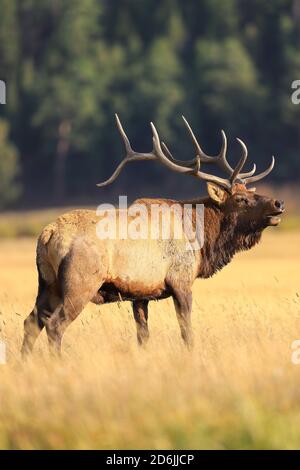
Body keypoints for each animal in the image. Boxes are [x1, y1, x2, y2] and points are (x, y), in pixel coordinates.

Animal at [20, 114, 284, 356]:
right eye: (241, 199)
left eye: (250, 191)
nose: (278, 203)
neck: (202, 242)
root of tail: (47, 234)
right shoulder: (181, 280)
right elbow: (187, 332)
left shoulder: (140, 294)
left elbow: (143, 336)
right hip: (80, 282)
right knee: (54, 325)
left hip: (48, 284)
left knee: (31, 322)